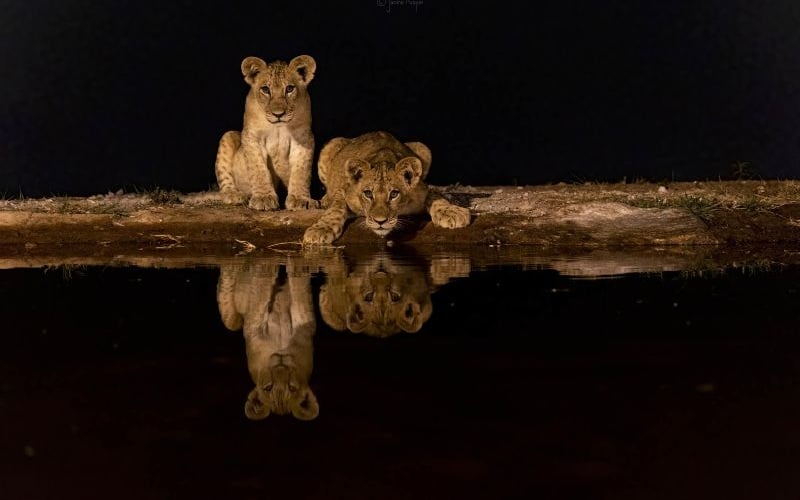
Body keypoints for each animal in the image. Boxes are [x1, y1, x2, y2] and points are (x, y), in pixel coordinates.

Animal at [215, 55, 319, 211]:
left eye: (289, 89)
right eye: (265, 89)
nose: (278, 114)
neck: (279, 127)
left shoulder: (303, 138)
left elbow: (301, 171)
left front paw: (300, 199)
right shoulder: (252, 137)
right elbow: (258, 169)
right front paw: (263, 198)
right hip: (228, 136)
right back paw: (235, 195)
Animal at [216, 257, 319, 420]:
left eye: (292, 388)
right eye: (268, 388)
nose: (280, 368)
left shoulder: (305, 324)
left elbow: (300, 292)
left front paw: (299, 268)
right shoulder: (253, 326)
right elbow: (260, 291)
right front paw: (266, 267)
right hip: (232, 321)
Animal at [303, 131, 471, 244]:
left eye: (394, 194)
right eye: (368, 193)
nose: (380, 222)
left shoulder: (422, 188)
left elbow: (436, 197)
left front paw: (453, 212)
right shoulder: (344, 190)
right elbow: (335, 208)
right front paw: (320, 230)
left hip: (423, 148)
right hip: (331, 145)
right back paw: (324, 201)